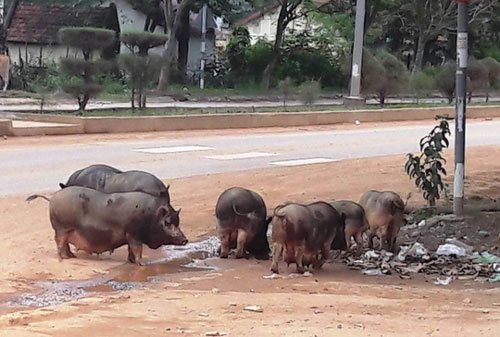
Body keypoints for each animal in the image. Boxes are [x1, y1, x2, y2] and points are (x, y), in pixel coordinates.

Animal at [25, 186, 187, 266]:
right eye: (168, 222)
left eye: (178, 221)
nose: (185, 239)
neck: (151, 216)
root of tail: (52, 198)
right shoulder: (134, 234)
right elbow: (137, 249)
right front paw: (143, 264)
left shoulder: (130, 236)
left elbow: (131, 249)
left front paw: (131, 261)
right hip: (62, 228)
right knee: (59, 243)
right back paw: (65, 258)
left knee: (64, 244)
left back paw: (72, 256)